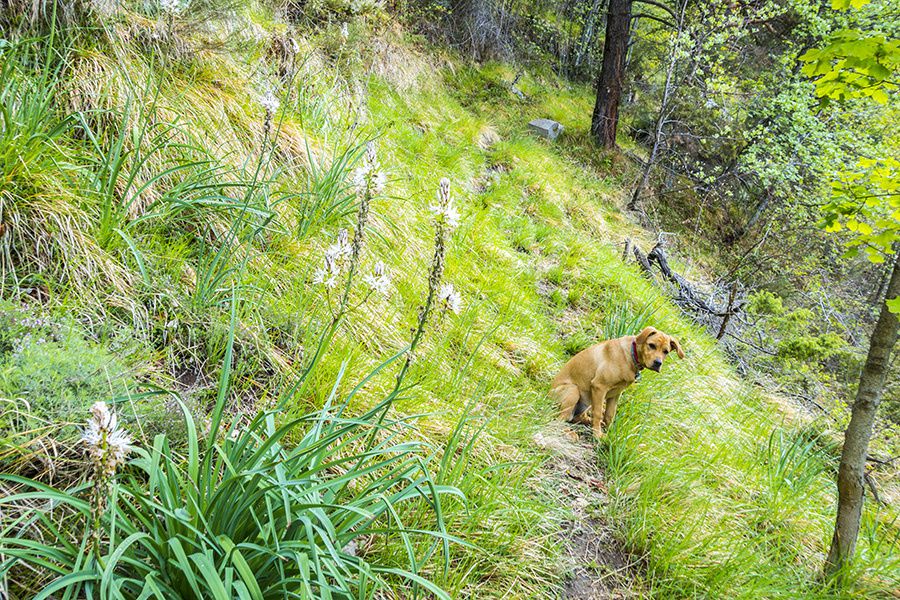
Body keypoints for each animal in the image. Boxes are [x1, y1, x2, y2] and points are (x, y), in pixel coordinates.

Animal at [548, 326, 684, 438]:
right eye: (651, 345)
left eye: (666, 351)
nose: (658, 363)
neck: (631, 356)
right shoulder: (599, 387)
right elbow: (598, 413)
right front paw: (597, 435)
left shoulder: (615, 394)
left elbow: (609, 415)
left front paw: (610, 433)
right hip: (573, 390)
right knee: (559, 420)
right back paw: (570, 432)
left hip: (587, 400)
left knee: (576, 417)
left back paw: (587, 422)